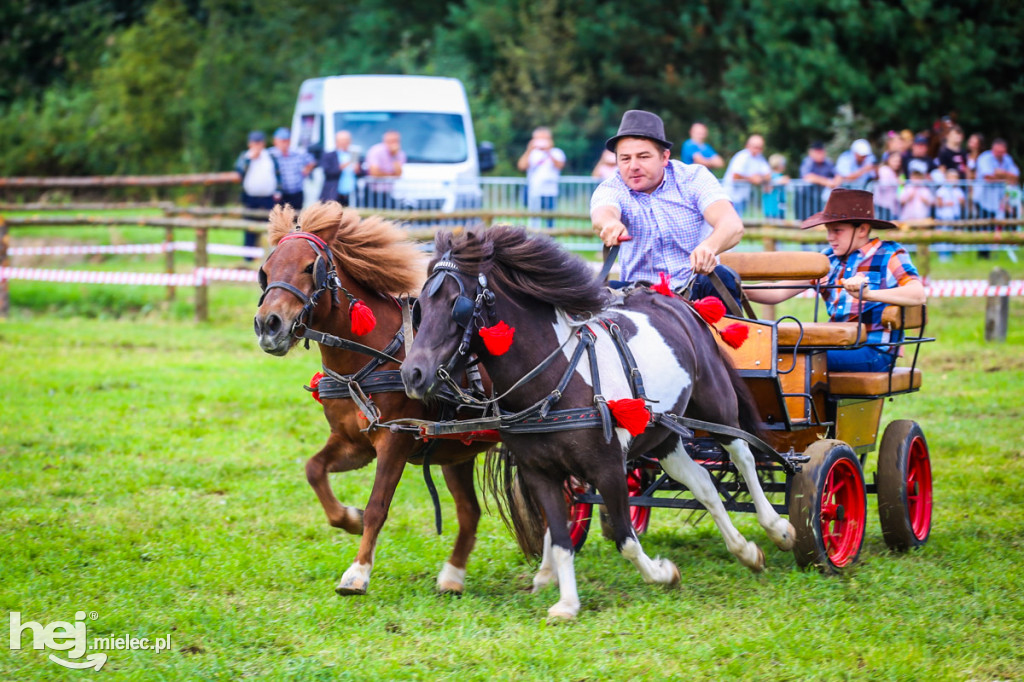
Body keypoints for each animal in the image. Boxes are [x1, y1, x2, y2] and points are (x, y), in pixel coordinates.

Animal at [251, 201, 487, 593]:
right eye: (266, 272)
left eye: (309, 267)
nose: (268, 325)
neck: (366, 361)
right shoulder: (352, 442)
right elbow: (314, 469)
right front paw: (350, 518)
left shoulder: (395, 440)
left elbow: (378, 504)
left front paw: (358, 571)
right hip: (457, 450)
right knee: (470, 512)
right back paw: (453, 577)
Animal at [399, 225, 790, 618]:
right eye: (420, 306)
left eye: (457, 304)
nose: (412, 374)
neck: (555, 380)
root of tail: (674, 298)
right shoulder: (539, 472)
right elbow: (560, 538)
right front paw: (567, 603)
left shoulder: (609, 468)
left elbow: (625, 539)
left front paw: (664, 574)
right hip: (663, 432)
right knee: (702, 482)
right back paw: (745, 550)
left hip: (715, 403)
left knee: (743, 453)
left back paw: (776, 528)